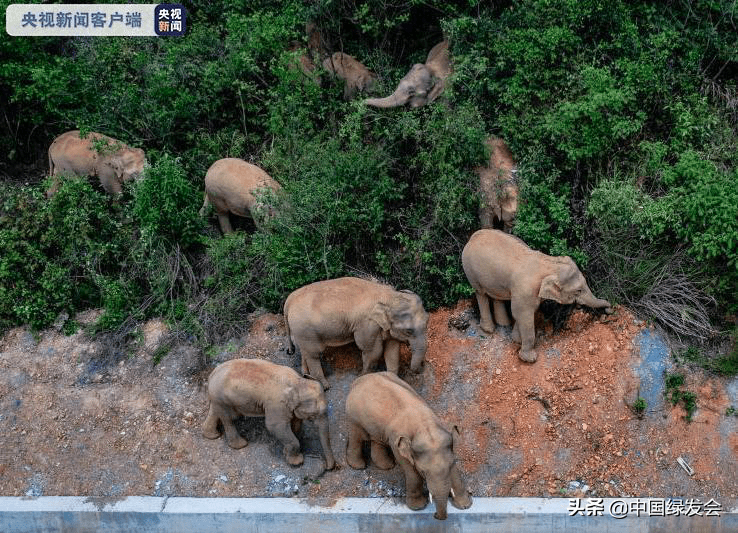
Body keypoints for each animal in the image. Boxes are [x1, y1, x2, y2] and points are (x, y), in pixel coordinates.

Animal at [201, 358, 334, 470]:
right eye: (313, 415)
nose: (327, 467)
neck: (297, 382)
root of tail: (211, 375)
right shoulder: (277, 404)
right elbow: (275, 426)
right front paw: (297, 462)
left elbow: (295, 424)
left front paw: (286, 452)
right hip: (221, 397)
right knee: (228, 419)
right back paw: (241, 445)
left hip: (218, 397)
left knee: (215, 411)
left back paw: (212, 435)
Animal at [284, 276, 432, 388]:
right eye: (409, 331)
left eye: (427, 321)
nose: (424, 365)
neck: (389, 296)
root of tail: (288, 301)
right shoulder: (367, 325)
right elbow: (373, 352)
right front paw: (361, 377)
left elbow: (392, 351)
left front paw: (392, 379)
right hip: (305, 330)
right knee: (313, 354)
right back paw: (325, 386)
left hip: (301, 332)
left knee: (305, 352)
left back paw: (306, 376)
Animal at [460, 229, 608, 362]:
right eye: (578, 291)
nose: (609, 310)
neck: (549, 264)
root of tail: (473, 236)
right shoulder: (525, 290)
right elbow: (522, 314)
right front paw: (530, 358)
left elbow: (525, 312)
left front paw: (516, 340)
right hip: (470, 269)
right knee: (481, 293)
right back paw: (489, 330)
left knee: (497, 296)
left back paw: (504, 324)